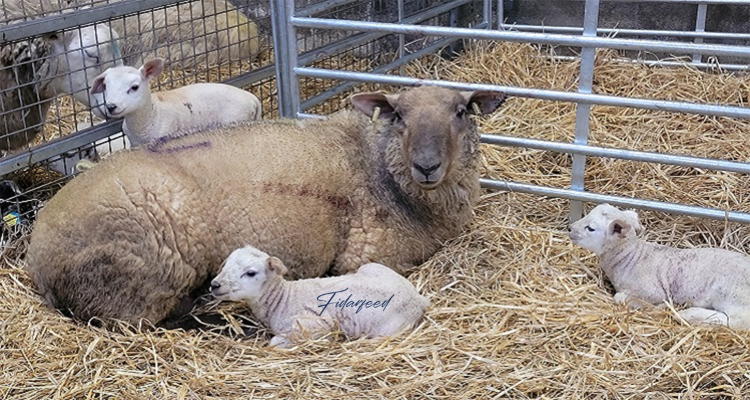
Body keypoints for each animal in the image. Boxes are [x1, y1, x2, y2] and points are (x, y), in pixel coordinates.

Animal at [24, 85, 507, 326]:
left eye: (462, 111)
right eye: (399, 115)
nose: (427, 166)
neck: (378, 166)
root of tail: (38, 260)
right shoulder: (370, 253)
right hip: (145, 272)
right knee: (147, 320)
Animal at [211, 245, 430, 348]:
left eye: (251, 273)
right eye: (226, 264)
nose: (214, 285)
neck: (283, 298)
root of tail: (419, 299)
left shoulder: (315, 326)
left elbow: (275, 343)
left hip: (387, 332)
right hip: (371, 267)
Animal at [568, 203, 750, 329]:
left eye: (591, 228)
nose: (569, 228)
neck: (630, 258)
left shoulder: (652, 291)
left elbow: (620, 298)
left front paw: (661, 306)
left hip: (734, 296)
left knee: (737, 322)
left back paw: (689, 314)